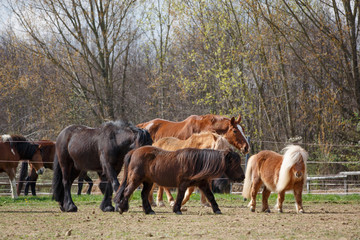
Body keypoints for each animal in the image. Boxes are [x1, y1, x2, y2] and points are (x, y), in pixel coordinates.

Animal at [113, 146, 245, 216]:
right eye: (235, 163)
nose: (243, 177)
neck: (197, 162)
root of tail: (133, 152)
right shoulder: (183, 184)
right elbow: (180, 196)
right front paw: (177, 209)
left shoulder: (203, 184)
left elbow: (211, 196)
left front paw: (217, 210)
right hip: (136, 180)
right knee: (127, 192)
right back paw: (122, 208)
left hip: (148, 182)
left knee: (143, 194)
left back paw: (149, 211)